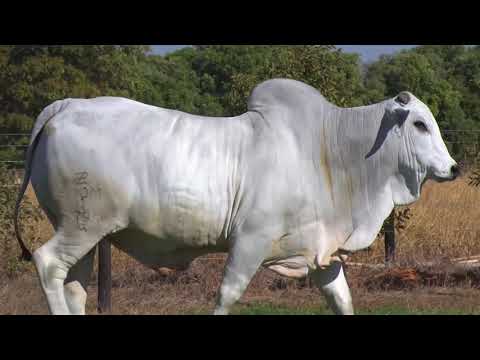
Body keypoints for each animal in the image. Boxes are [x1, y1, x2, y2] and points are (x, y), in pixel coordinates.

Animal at [14, 79, 458, 316]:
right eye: (419, 125)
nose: (453, 168)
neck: (329, 151)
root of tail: (66, 106)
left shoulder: (322, 255)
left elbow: (342, 300)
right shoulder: (249, 242)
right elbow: (227, 295)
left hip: (85, 233)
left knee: (75, 284)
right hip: (82, 226)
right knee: (48, 264)